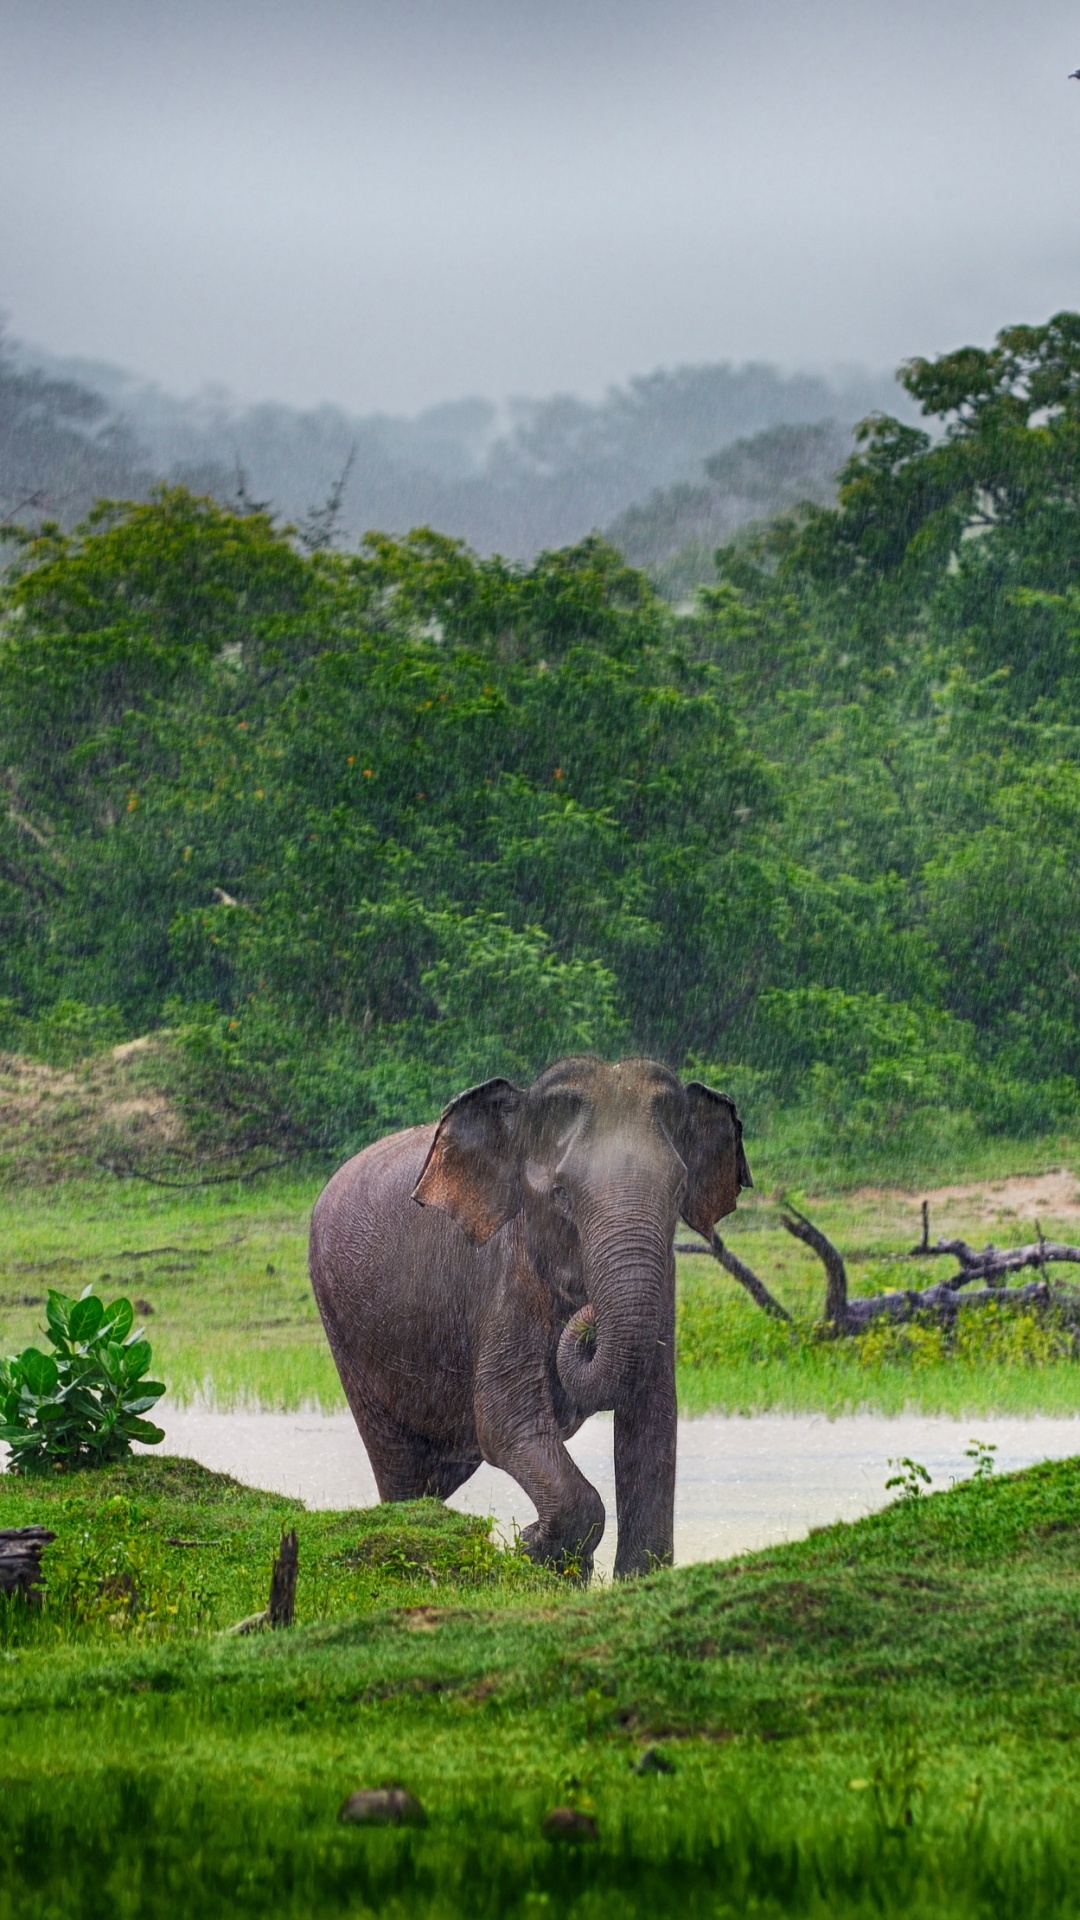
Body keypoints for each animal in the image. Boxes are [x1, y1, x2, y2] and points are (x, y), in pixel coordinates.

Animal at [308, 1055, 751, 1579]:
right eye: (560, 1194)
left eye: (680, 1188)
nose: (587, 1317)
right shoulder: (505, 1276)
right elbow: (505, 1421)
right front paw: (532, 1546)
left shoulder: (664, 1281)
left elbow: (653, 1417)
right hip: (343, 1326)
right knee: (401, 1467)